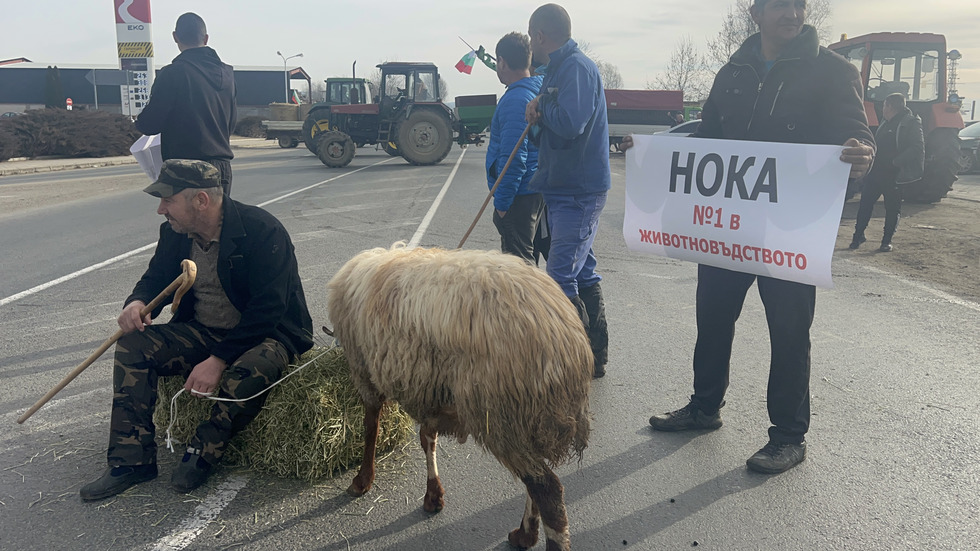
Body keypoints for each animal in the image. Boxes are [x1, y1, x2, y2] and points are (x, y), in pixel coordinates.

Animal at [328, 247, 588, 551]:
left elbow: (371, 428)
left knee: (547, 490)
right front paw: (433, 496)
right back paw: (524, 534)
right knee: (535, 480)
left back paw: (530, 534)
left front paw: (362, 481)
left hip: (501, 416)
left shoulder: (364, 371)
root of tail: (564, 336)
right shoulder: (430, 393)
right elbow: (427, 439)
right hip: (526, 421)